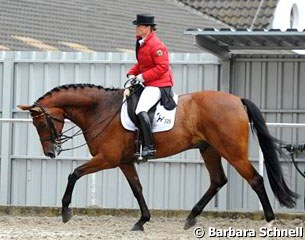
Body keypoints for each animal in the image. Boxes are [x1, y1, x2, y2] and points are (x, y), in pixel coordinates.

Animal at [17, 83, 296, 231]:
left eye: (41, 123)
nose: (51, 152)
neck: (100, 110)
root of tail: (237, 99)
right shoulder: (124, 162)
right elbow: (137, 188)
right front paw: (142, 220)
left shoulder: (107, 159)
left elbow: (73, 174)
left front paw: (65, 211)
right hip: (209, 149)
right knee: (218, 180)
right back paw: (191, 217)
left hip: (232, 151)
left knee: (255, 180)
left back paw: (269, 221)